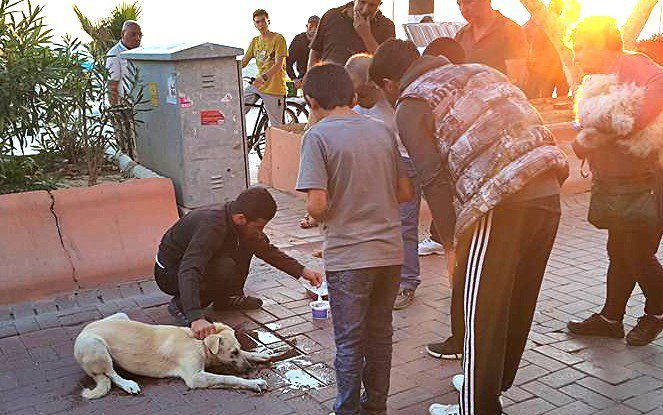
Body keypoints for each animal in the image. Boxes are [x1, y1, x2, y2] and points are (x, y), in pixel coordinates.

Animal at [74, 316, 276, 400]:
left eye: (239, 349)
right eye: (233, 353)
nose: (249, 369)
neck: (199, 342)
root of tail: (84, 329)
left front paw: (259, 354)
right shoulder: (195, 377)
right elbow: (229, 378)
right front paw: (254, 382)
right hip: (96, 345)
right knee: (111, 373)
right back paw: (128, 384)